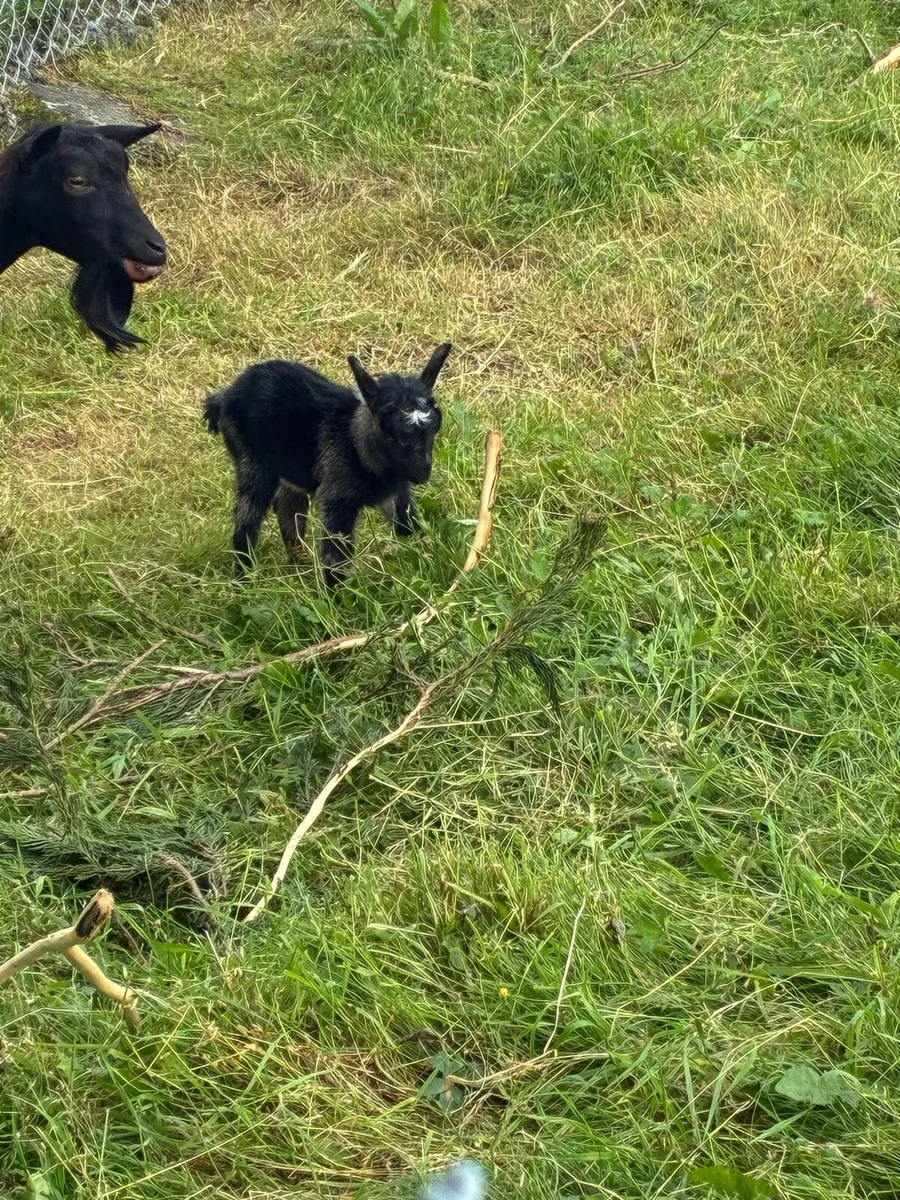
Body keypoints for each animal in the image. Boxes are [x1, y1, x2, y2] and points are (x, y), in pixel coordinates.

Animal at [204, 343, 453, 586]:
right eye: (387, 430)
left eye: (434, 426)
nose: (422, 472)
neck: (354, 441)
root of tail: (225, 396)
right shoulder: (337, 499)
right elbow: (336, 558)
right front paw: (337, 595)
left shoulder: (396, 493)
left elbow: (408, 527)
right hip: (253, 461)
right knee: (247, 516)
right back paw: (243, 579)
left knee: (288, 507)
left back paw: (298, 562)